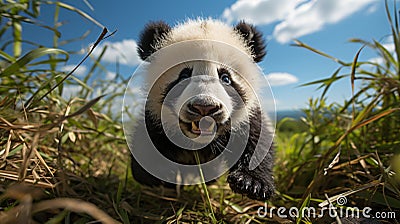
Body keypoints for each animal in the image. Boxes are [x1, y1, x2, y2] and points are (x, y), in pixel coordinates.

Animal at [128, 18, 276, 200]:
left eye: (225, 78)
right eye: (184, 76)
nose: (204, 106)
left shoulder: (248, 117)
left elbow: (257, 141)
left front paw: (251, 182)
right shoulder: (154, 118)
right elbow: (144, 151)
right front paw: (165, 172)